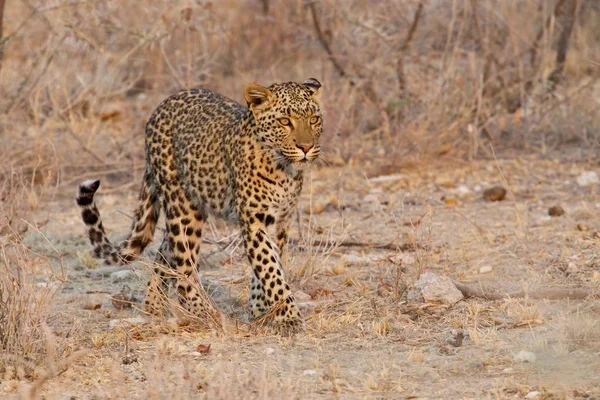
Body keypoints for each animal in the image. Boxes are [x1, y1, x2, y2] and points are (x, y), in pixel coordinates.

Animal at [77, 77, 326, 332]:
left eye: (314, 119)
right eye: (285, 121)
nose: (306, 148)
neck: (285, 169)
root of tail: (159, 108)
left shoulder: (280, 221)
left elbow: (268, 268)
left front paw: (260, 310)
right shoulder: (254, 221)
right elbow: (269, 269)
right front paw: (288, 317)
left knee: (164, 253)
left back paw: (154, 306)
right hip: (183, 208)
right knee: (184, 268)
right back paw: (204, 312)